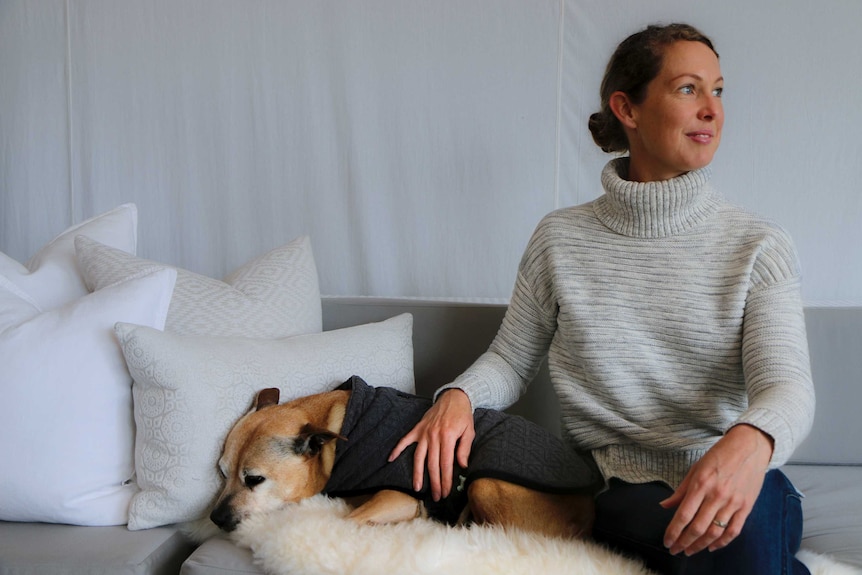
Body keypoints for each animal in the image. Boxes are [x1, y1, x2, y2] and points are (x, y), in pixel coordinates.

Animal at [211, 378, 600, 540]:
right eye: (223, 473)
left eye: (254, 479)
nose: (214, 518)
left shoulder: (398, 497)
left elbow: (347, 521)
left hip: (485, 485)